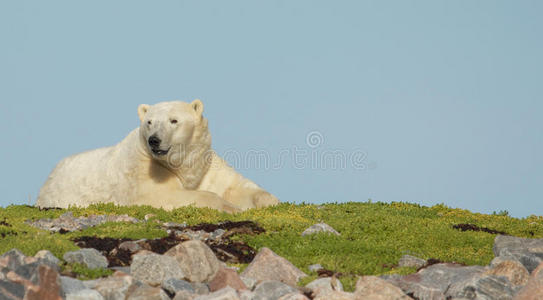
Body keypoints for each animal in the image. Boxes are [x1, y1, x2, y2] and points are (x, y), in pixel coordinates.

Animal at [36, 99, 280, 212]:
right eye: (149, 122)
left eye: (174, 120)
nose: (154, 140)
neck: (181, 165)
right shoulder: (144, 171)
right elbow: (162, 195)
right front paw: (230, 207)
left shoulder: (206, 166)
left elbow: (236, 186)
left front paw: (268, 202)